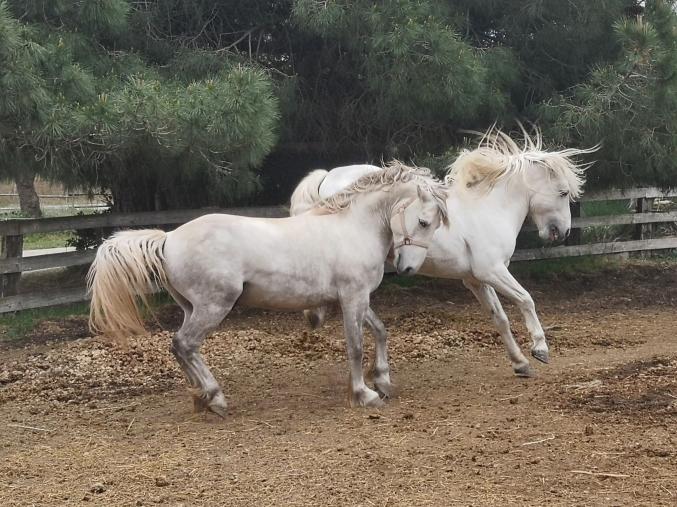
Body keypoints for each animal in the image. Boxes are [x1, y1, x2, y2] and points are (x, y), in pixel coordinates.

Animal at [87, 163, 449, 416]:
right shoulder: (353, 297)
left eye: (432, 225)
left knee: (182, 349)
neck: (352, 226)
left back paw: (200, 396)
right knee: (184, 344)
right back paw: (215, 398)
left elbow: (381, 331)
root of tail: (169, 239)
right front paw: (365, 394)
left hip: (192, 308)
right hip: (214, 306)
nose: (407, 268)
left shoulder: (354, 299)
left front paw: (384, 381)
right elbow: (356, 347)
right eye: (423, 222)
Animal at [290, 128, 596, 377]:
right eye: (563, 192)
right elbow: (526, 299)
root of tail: (327, 178)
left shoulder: (476, 279)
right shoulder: (493, 270)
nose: (563, 232)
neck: (490, 208)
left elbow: (500, 318)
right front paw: (540, 348)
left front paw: (520, 363)